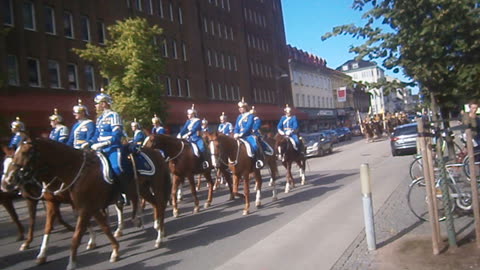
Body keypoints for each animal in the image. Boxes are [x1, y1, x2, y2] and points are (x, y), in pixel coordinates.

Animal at [2, 139, 171, 270]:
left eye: (27, 153)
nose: (8, 181)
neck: (75, 170)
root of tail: (156, 153)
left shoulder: (85, 208)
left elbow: (76, 236)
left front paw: (71, 263)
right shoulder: (73, 205)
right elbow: (101, 226)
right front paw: (114, 250)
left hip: (156, 186)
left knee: (160, 206)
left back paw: (158, 236)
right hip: (143, 189)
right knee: (155, 205)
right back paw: (156, 227)